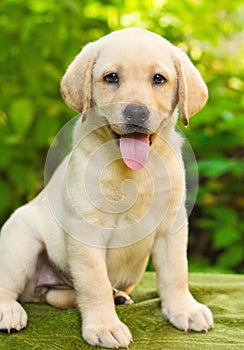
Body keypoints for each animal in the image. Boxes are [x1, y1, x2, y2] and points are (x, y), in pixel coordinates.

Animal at [0, 28, 214, 348]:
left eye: (159, 79)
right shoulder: (87, 230)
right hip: (21, 240)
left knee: (57, 295)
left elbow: (177, 273)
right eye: (111, 77)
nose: (136, 113)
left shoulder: (171, 225)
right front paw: (104, 326)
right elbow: (94, 283)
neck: (134, 172)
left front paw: (184, 310)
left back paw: (116, 297)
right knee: (8, 285)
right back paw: (9, 312)